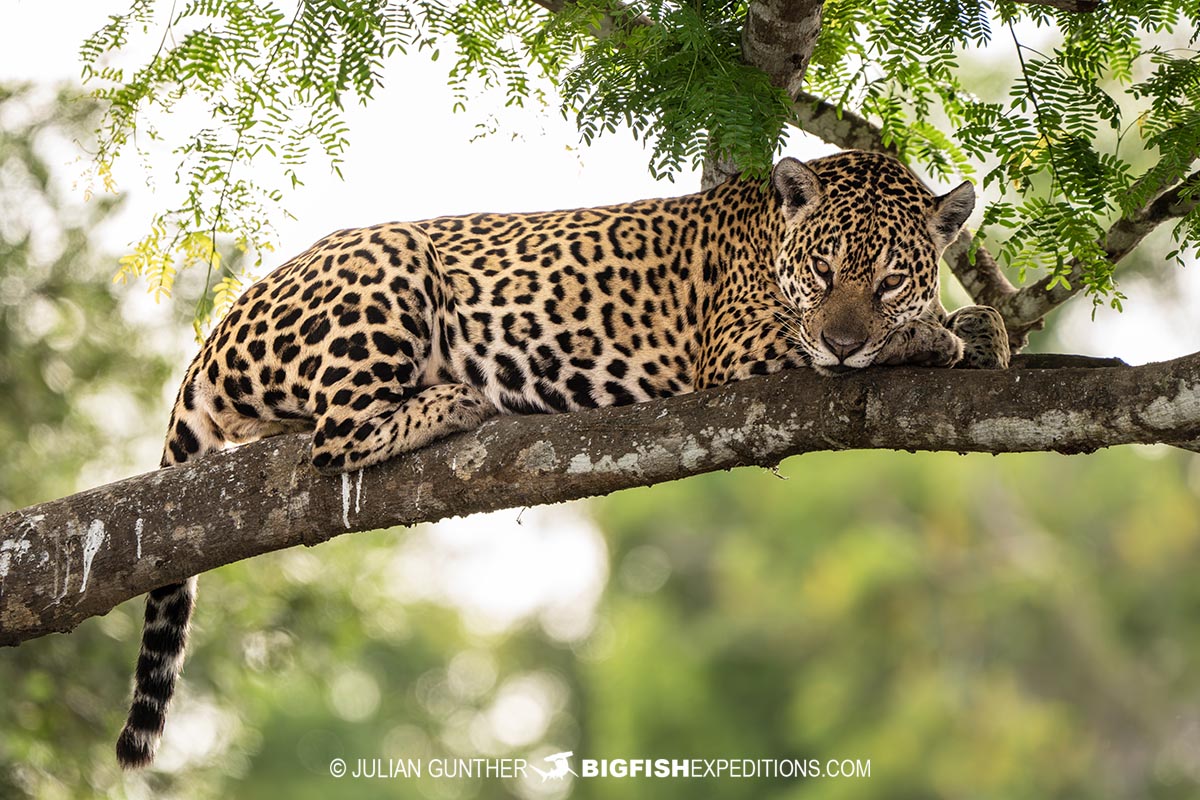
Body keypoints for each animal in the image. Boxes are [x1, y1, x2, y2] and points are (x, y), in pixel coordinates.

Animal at [115, 150, 1009, 769]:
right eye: (823, 272)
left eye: (888, 278)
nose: (846, 341)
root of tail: (216, 332)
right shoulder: (741, 345)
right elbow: (879, 338)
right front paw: (935, 337)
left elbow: (971, 318)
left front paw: (979, 329)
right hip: (391, 259)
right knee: (332, 440)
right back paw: (455, 398)